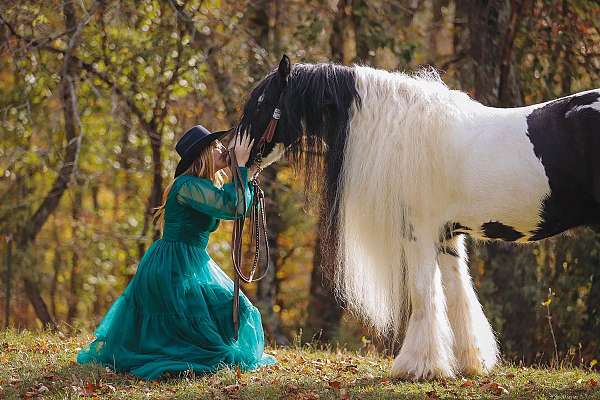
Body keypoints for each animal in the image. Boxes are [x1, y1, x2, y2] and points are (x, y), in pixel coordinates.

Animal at [236, 54, 600, 380]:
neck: (400, 133)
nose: (235, 158)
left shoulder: (417, 233)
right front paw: (469, 363)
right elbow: (457, 294)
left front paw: (418, 367)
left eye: (262, 101)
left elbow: (423, 293)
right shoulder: (448, 234)